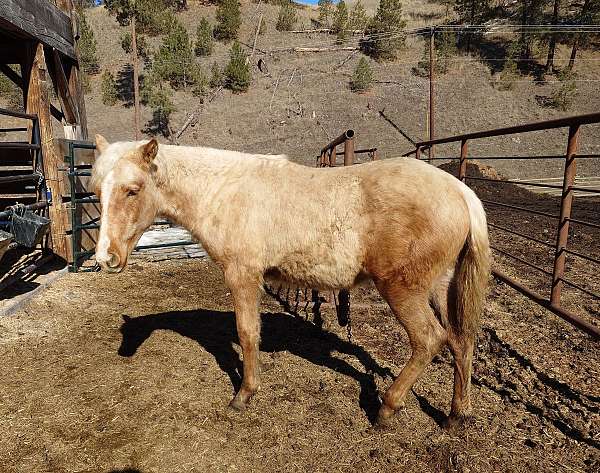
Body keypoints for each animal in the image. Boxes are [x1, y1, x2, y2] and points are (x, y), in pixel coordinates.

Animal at [91, 136, 490, 428]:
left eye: (132, 190)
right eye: (97, 191)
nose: (105, 258)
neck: (224, 191)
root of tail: (460, 192)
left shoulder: (242, 275)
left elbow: (247, 333)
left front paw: (244, 395)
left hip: (403, 289)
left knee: (430, 339)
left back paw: (387, 408)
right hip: (441, 288)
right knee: (460, 340)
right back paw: (457, 415)